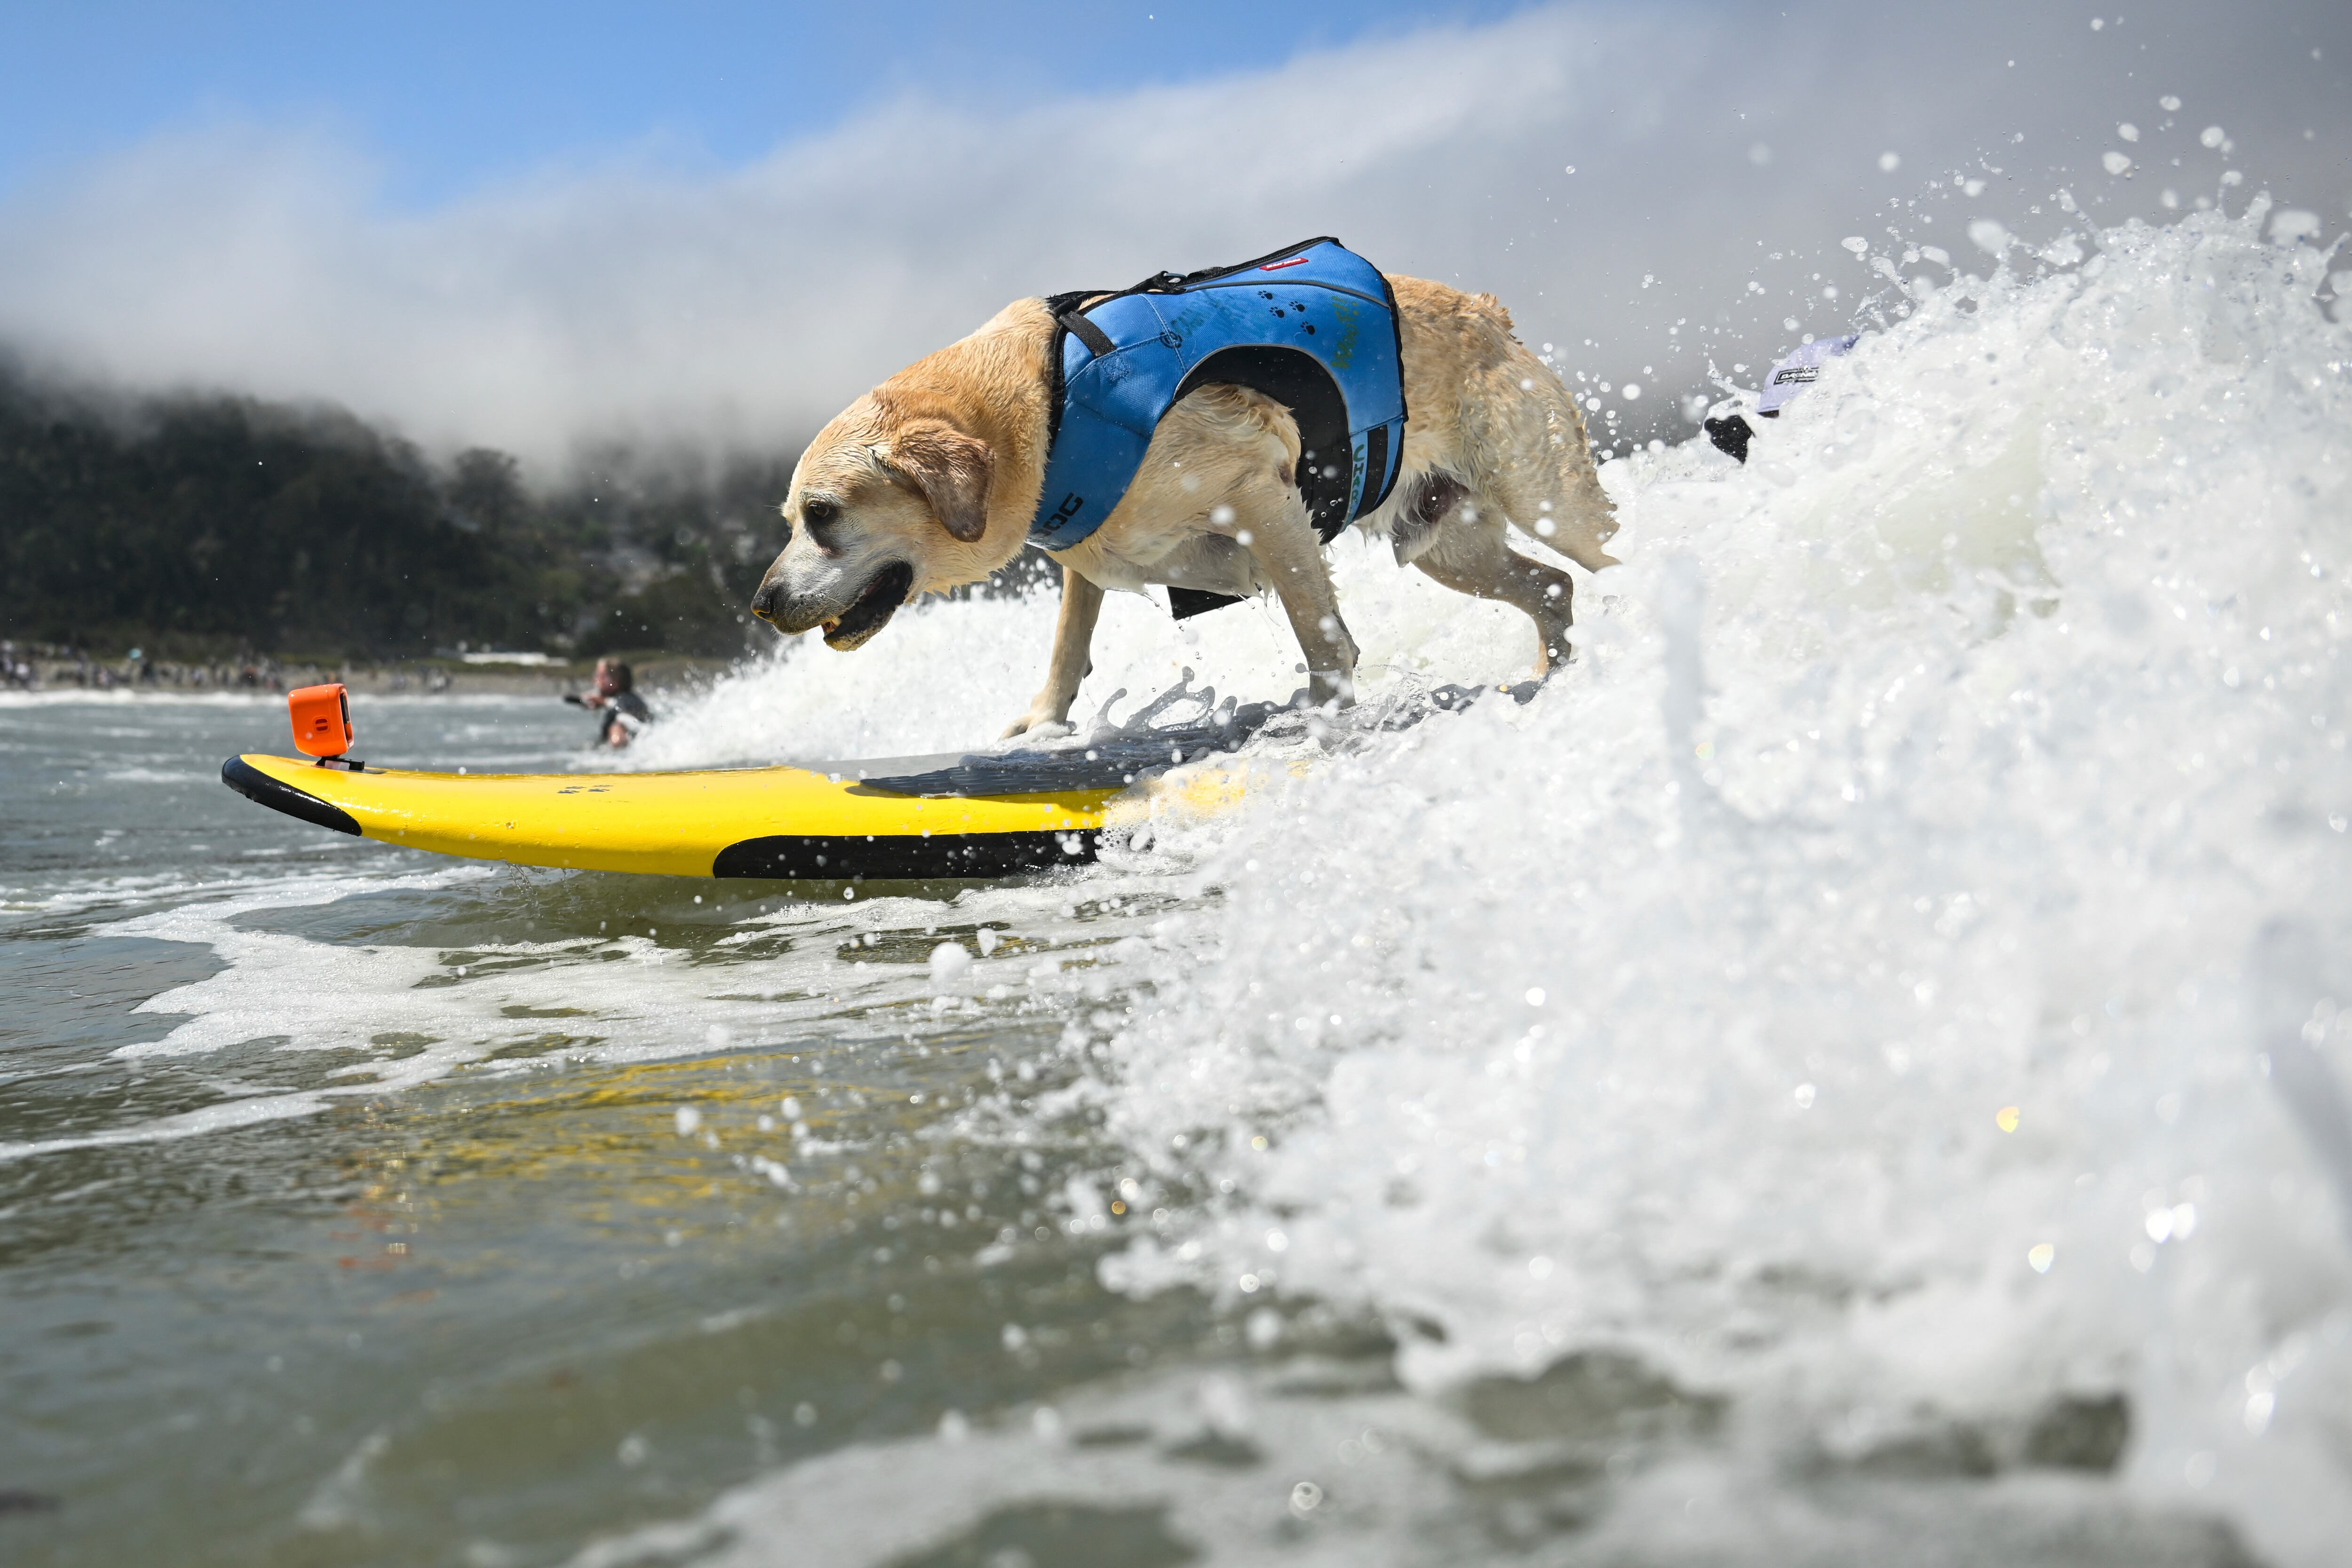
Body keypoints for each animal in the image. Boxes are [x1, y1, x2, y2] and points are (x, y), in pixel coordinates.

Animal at [748, 270, 1618, 738]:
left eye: (823, 514)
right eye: (791, 521)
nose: (762, 603)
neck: (1052, 402)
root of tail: (1488, 310)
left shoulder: (1259, 493)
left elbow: (1319, 630)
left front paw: (1322, 712)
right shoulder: (1084, 549)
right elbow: (1067, 640)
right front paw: (1045, 724)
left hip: (1544, 494)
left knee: (1601, 558)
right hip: (1449, 546)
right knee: (1551, 586)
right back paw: (1554, 669)